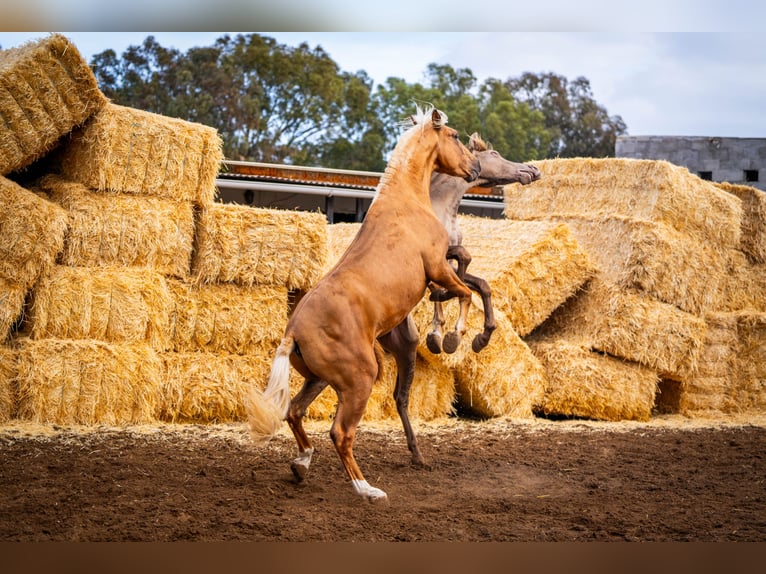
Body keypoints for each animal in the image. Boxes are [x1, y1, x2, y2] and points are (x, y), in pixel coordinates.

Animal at [249, 104, 480, 504]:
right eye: (453, 136)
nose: (475, 168)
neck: (406, 200)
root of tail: (292, 332)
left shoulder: (440, 268)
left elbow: (463, 279)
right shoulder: (435, 268)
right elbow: (464, 292)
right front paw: (451, 337)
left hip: (321, 379)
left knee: (294, 412)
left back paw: (302, 463)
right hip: (360, 379)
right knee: (340, 433)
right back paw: (367, 489)